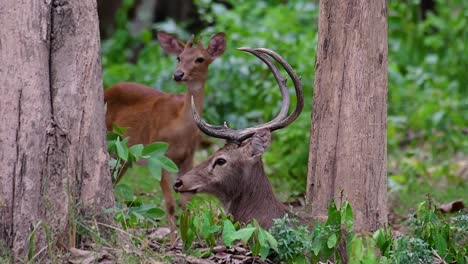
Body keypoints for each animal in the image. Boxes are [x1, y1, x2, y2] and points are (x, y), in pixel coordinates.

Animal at [103, 31, 227, 241]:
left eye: (200, 59)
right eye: (179, 57)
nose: (178, 74)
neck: (179, 127)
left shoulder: (188, 157)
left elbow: (185, 203)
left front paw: (185, 237)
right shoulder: (159, 157)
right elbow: (169, 204)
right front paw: (172, 241)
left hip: (125, 155)